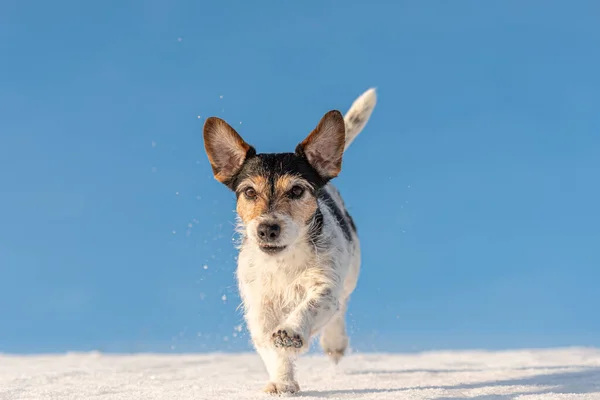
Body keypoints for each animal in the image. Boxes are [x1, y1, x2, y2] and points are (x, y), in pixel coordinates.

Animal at [204, 88, 378, 394]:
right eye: (249, 192)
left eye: (297, 190)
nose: (267, 229)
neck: (283, 262)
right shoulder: (259, 306)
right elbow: (269, 346)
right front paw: (282, 382)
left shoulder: (324, 284)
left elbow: (311, 306)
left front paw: (291, 332)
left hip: (349, 275)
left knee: (339, 309)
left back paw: (334, 342)